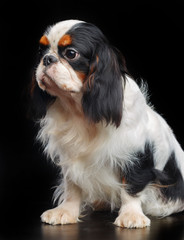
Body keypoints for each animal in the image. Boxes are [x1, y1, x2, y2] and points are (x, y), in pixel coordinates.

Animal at [29, 19, 184, 228]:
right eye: (41, 50)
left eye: (71, 53)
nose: (47, 59)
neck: (79, 108)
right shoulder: (71, 156)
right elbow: (73, 186)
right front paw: (66, 212)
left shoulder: (134, 154)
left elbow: (131, 186)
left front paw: (131, 215)